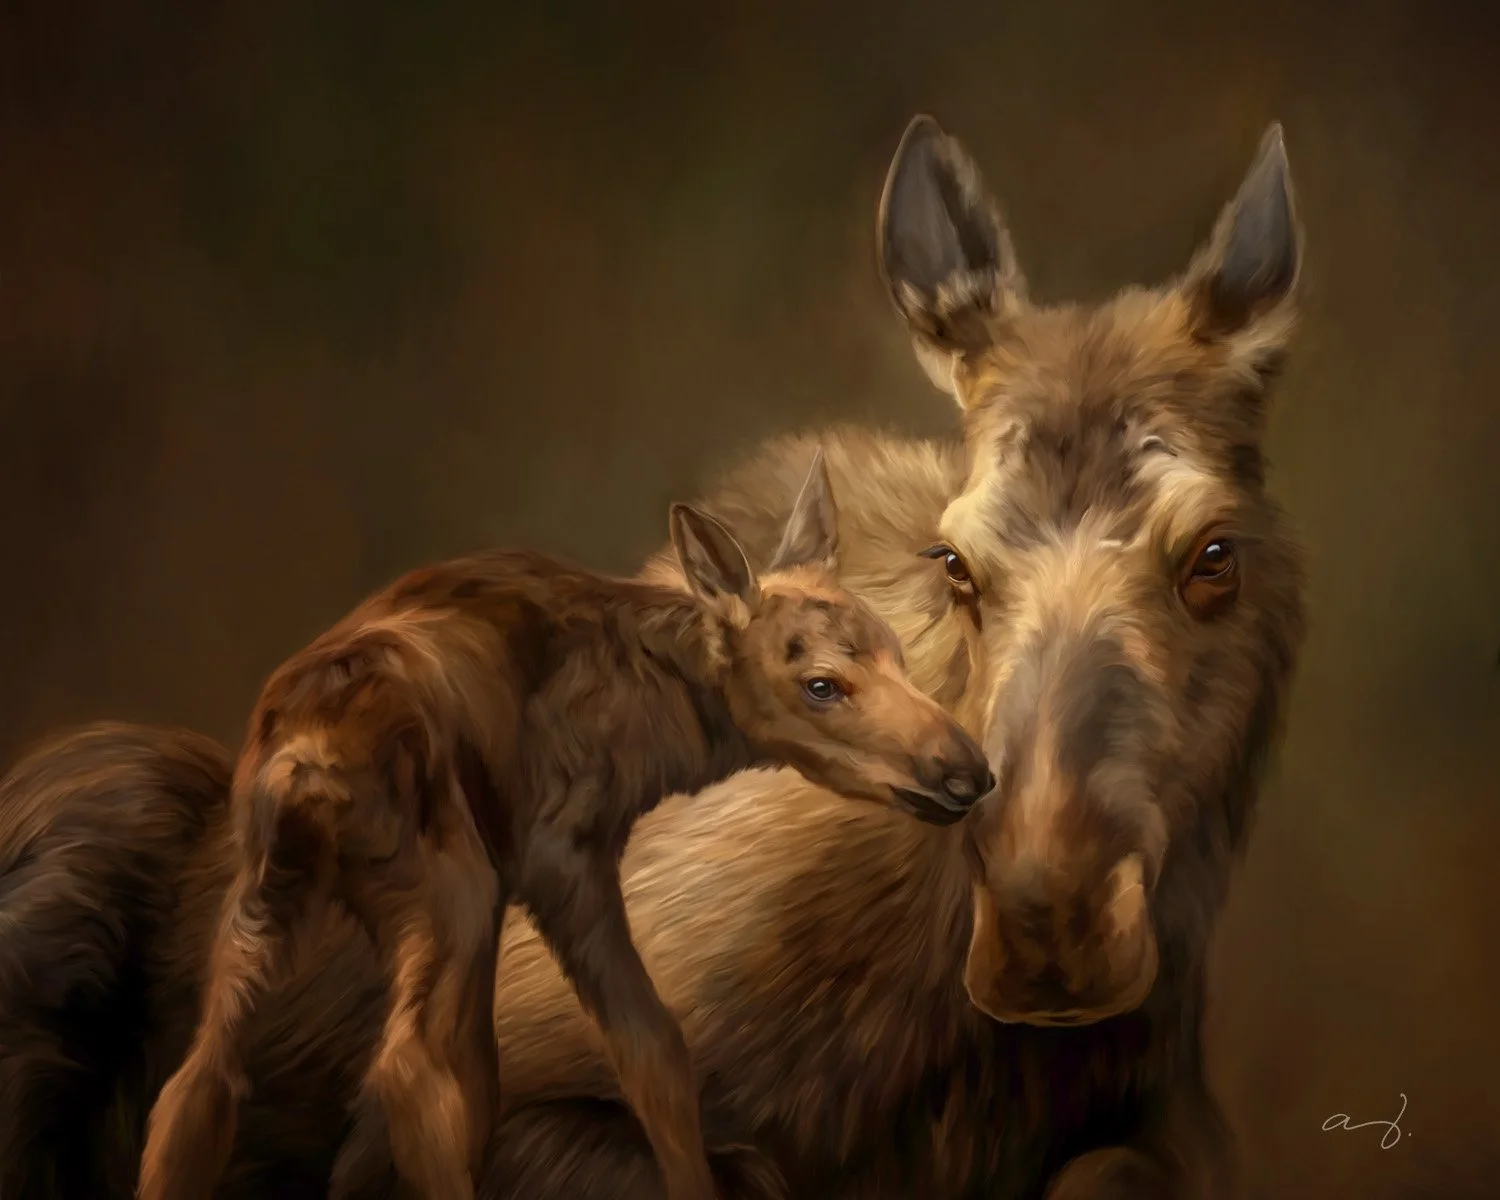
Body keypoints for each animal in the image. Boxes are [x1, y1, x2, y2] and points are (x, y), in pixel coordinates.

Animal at [132, 450, 993, 1200]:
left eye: (895, 652)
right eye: (820, 684)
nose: (968, 771)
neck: (664, 728)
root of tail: (309, 756)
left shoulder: (511, 883)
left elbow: (490, 1073)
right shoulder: (562, 856)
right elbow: (653, 1050)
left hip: (272, 891)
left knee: (198, 1079)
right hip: (444, 887)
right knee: (407, 1069)